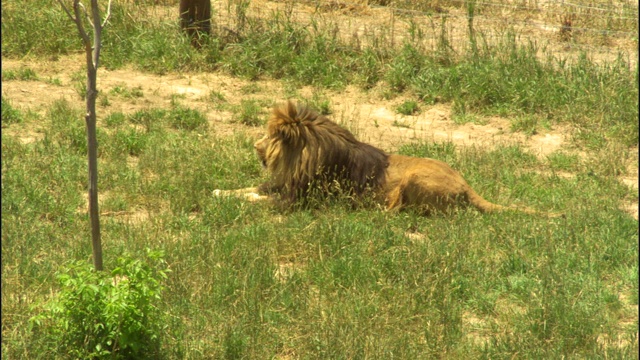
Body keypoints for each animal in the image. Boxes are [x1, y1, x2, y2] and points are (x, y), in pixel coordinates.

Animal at [214, 100, 560, 217]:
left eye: (268, 137)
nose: (254, 145)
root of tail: (466, 186)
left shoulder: (297, 200)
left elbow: (256, 199)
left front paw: (230, 200)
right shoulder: (285, 185)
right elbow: (250, 189)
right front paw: (219, 191)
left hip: (414, 179)